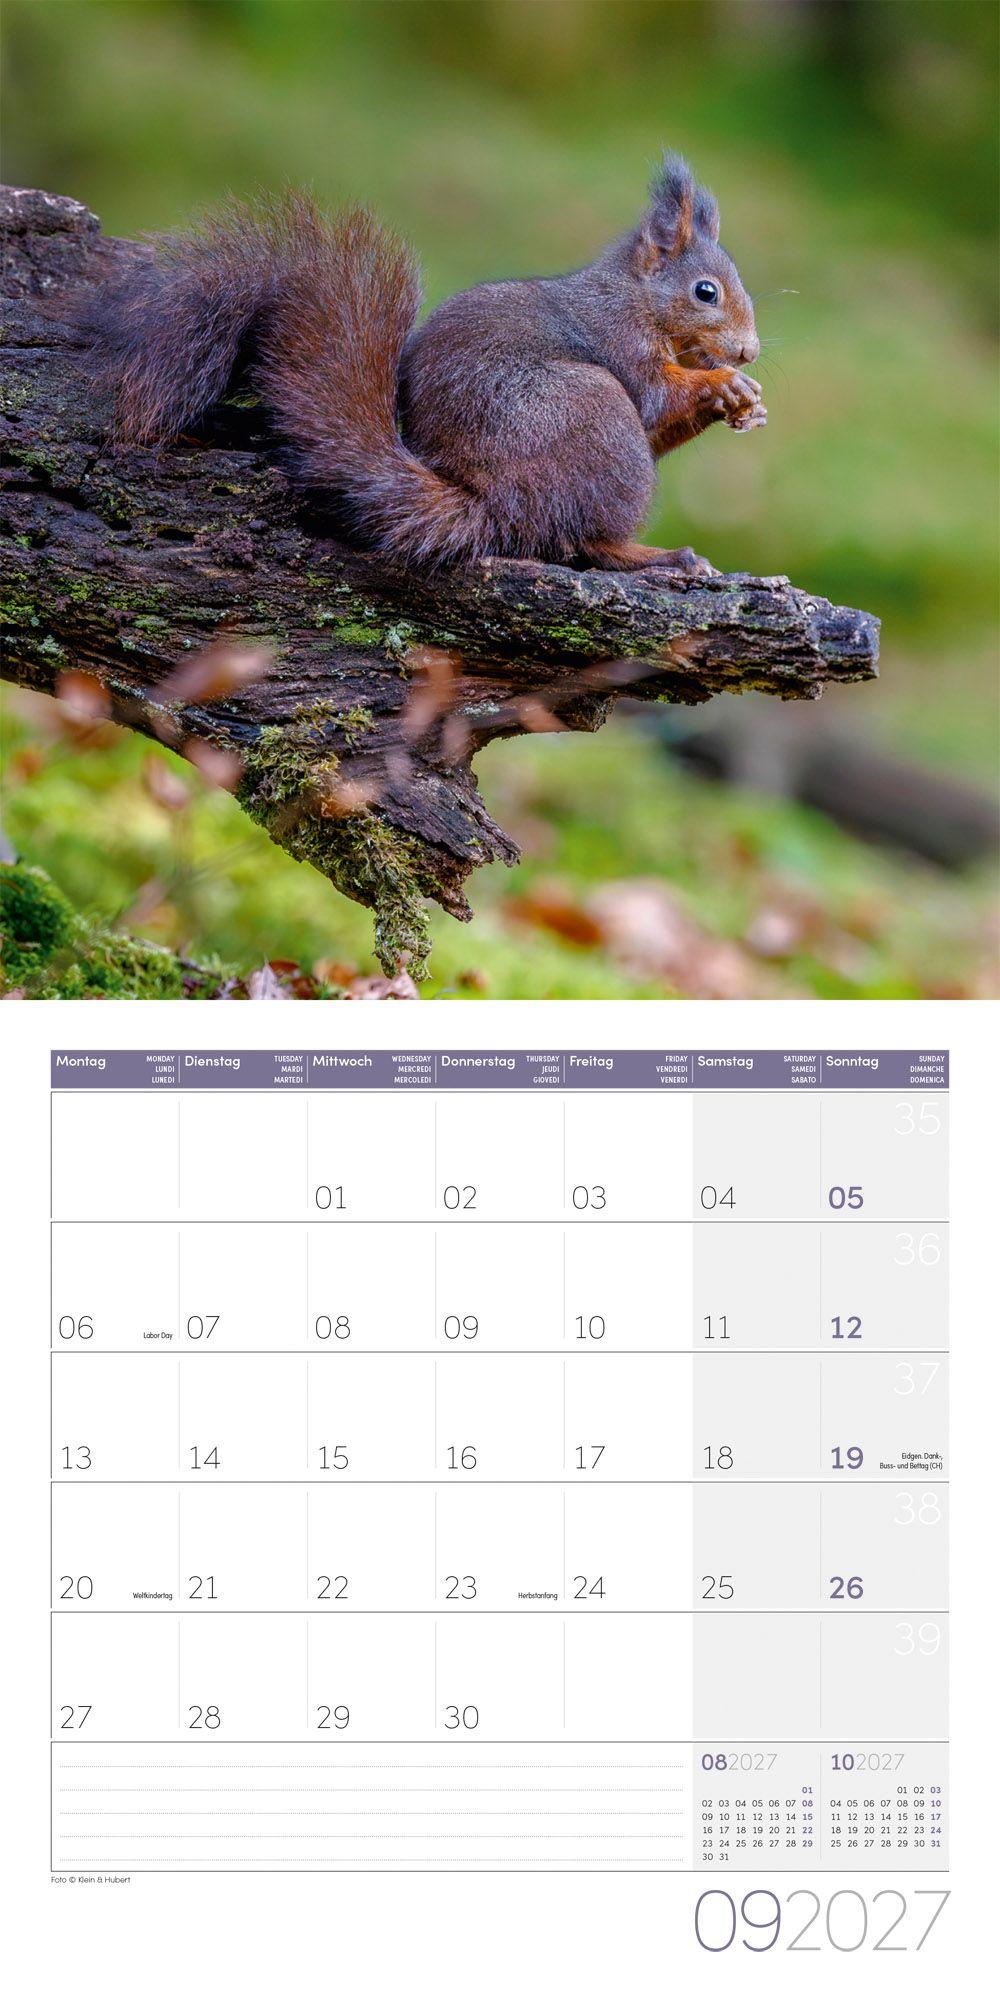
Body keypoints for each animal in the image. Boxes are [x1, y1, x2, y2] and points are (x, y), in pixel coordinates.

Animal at [91, 152, 764, 575]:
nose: (749, 350)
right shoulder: (618, 341)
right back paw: (662, 558)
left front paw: (744, 401)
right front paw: (725, 382)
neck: (637, 299)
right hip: (593, 414)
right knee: (583, 540)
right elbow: (654, 396)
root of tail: (490, 504)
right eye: (706, 292)